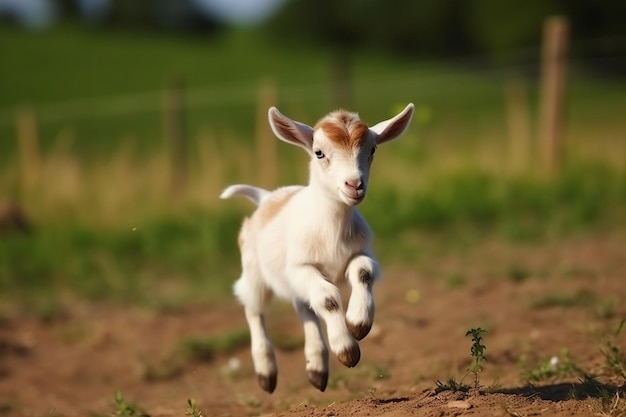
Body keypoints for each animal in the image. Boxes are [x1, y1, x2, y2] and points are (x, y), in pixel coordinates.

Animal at [219, 102, 414, 392]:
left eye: (372, 150)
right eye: (319, 152)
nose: (354, 185)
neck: (332, 230)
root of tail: (265, 197)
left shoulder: (361, 252)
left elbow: (362, 273)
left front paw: (358, 323)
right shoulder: (300, 265)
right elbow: (329, 298)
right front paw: (346, 349)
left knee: (305, 308)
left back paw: (317, 368)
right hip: (254, 271)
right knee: (255, 309)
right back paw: (266, 373)